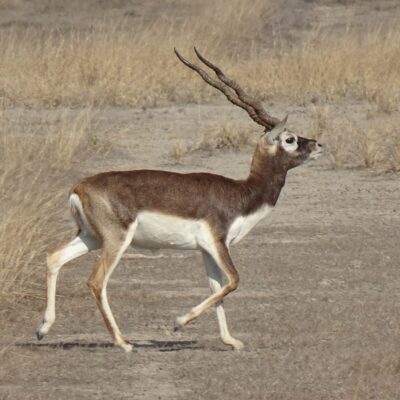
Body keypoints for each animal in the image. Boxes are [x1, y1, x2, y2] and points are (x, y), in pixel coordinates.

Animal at [36, 48, 324, 352]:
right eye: (290, 139)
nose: (318, 144)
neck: (242, 193)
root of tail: (78, 188)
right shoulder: (217, 242)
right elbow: (234, 280)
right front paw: (177, 323)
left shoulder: (207, 249)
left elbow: (218, 288)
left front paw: (230, 340)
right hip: (116, 240)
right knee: (96, 281)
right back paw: (123, 342)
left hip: (91, 237)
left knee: (54, 258)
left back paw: (43, 329)